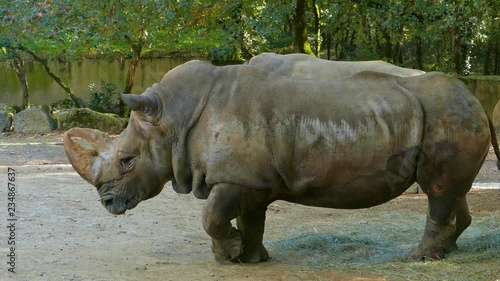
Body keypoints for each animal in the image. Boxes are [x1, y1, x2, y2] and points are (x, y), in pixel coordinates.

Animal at [64, 60, 498, 264]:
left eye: (126, 160)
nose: (108, 204)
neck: (173, 118)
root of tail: (476, 100)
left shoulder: (239, 179)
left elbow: (211, 217)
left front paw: (229, 255)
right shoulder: (251, 180)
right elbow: (250, 220)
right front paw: (250, 258)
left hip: (448, 116)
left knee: (438, 191)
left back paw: (419, 259)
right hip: (449, 116)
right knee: (451, 191)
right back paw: (448, 250)